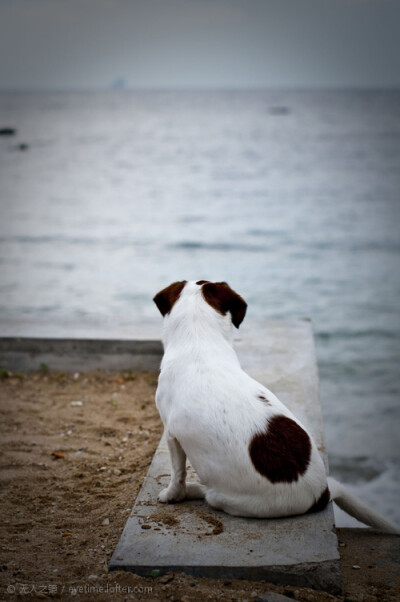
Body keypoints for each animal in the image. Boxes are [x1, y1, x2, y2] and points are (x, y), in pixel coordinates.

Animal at [152, 278, 396, 532]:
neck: (200, 343)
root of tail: (322, 494)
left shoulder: (172, 435)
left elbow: (177, 473)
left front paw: (172, 495)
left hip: (225, 499)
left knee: (209, 493)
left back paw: (193, 489)